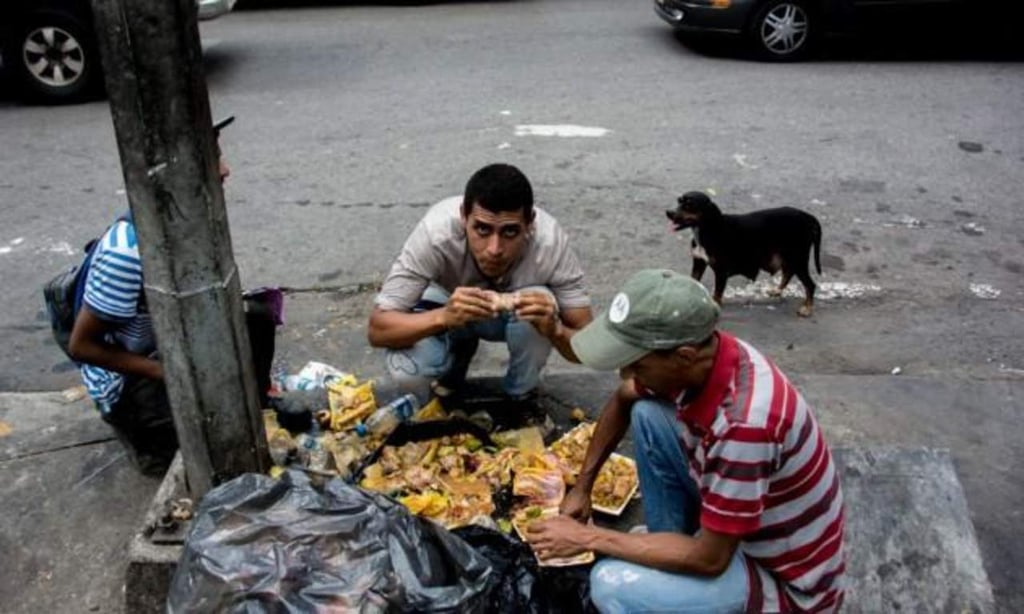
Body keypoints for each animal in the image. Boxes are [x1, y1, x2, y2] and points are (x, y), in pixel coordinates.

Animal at [663, 192, 823, 317]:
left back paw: (807, 308)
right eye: (679, 201)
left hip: (797, 258)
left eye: (689, 205)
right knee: (788, 273)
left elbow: (717, 294)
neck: (707, 230)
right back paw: (777, 291)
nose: (669, 212)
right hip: (786, 257)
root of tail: (808, 217)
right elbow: (694, 281)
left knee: (810, 284)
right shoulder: (699, 263)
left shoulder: (721, 272)